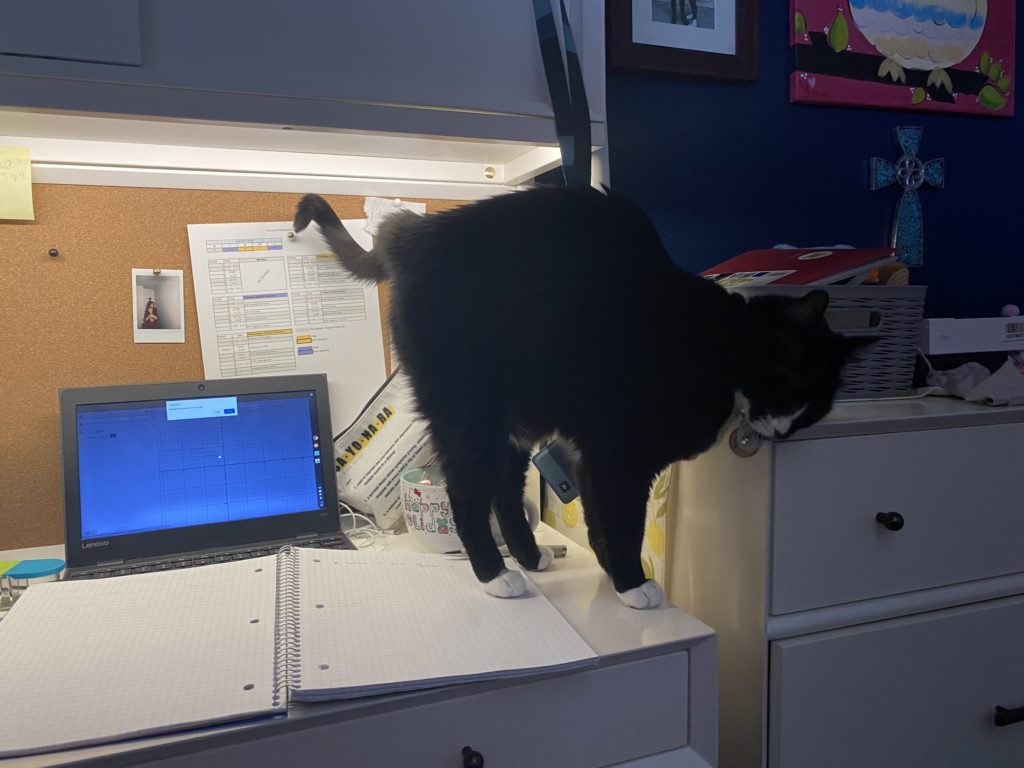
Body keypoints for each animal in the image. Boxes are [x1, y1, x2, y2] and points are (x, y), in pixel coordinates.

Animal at [292, 185, 868, 606]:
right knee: (468, 491)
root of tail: (412, 232)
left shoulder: (595, 453)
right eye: (794, 388)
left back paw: (530, 558)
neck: (722, 343)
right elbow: (625, 520)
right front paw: (633, 584)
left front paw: (613, 574)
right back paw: (495, 575)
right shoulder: (621, 453)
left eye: (814, 412)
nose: (785, 432)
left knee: (505, 490)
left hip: (514, 420)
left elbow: (599, 518)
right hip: (469, 411)